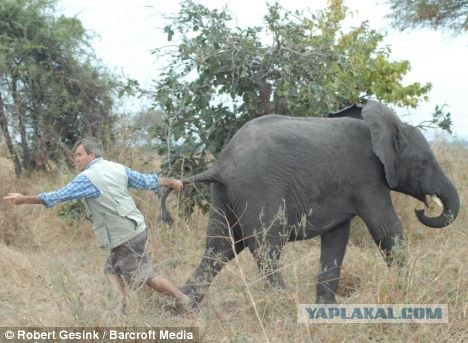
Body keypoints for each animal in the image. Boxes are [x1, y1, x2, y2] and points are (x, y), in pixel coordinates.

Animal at [161, 100, 460, 306]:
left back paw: (183, 307)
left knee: (220, 247)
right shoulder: (368, 179)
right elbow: (387, 230)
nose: (423, 208)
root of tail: (220, 165)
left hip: (225, 194)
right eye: (425, 162)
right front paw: (408, 294)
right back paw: (284, 304)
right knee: (265, 247)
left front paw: (327, 309)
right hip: (258, 189)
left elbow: (337, 239)